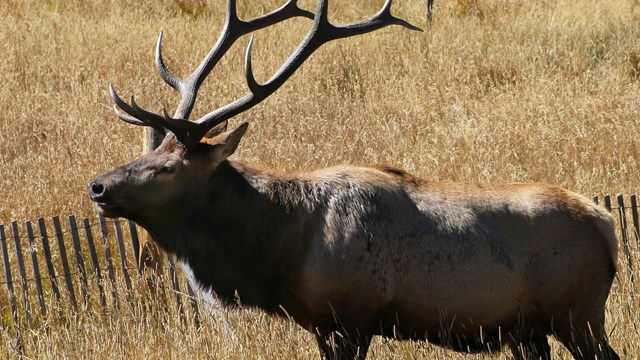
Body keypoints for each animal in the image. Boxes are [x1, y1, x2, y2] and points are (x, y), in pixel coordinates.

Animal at [87, 1, 616, 358]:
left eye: (167, 167)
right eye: (148, 151)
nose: (97, 186)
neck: (283, 250)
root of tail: (608, 225)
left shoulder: (353, 315)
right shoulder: (322, 325)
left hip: (579, 313)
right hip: (531, 329)